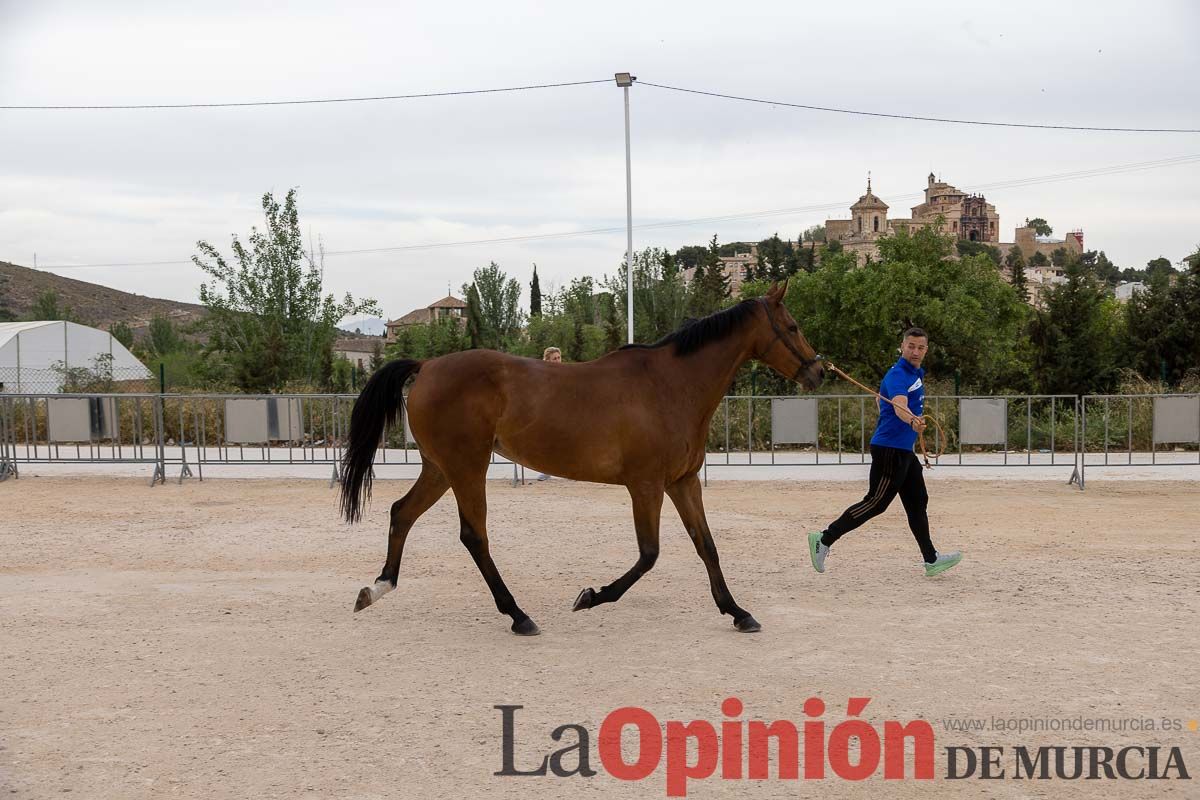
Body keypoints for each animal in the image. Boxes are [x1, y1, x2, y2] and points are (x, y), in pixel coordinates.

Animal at [340, 281, 825, 638]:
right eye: (793, 326)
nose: (819, 372)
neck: (672, 386)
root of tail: (427, 366)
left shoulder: (682, 482)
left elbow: (706, 546)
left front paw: (738, 611)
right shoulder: (646, 486)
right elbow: (649, 554)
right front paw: (591, 596)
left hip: (440, 468)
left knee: (402, 513)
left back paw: (377, 588)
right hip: (466, 468)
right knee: (473, 535)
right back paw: (518, 615)